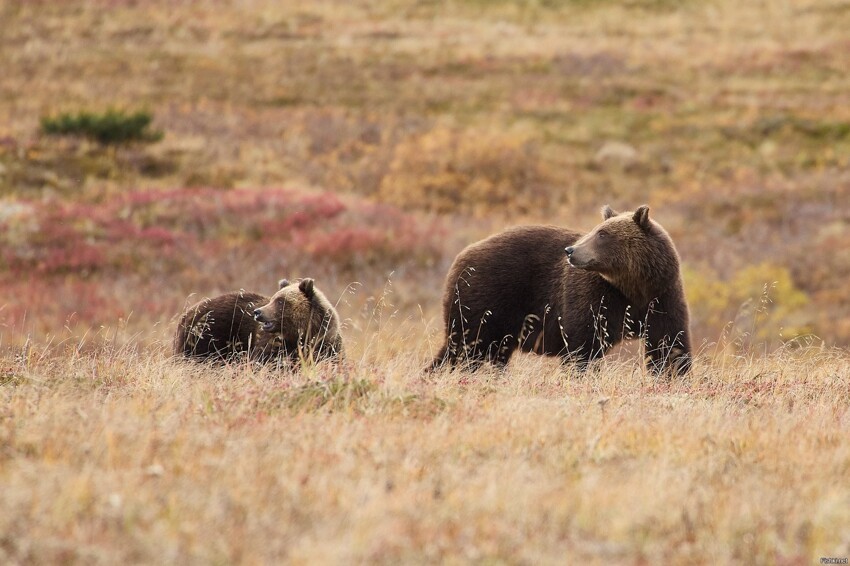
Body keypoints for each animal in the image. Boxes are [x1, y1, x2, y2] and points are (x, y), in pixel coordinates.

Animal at [430, 205, 688, 378]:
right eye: (596, 230)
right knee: (464, 345)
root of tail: (461, 257)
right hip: (486, 299)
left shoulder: (662, 297)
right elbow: (583, 344)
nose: (571, 251)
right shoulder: (596, 297)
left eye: (602, 234)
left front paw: (674, 375)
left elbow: (669, 343)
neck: (633, 287)